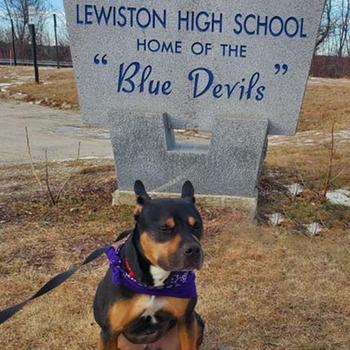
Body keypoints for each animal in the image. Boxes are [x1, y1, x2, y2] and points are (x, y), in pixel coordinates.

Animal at [93, 182, 205, 348]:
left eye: (197, 226)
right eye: (164, 228)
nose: (194, 249)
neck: (153, 284)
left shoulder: (186, 319)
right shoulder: (109, 333)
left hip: (197, 323)